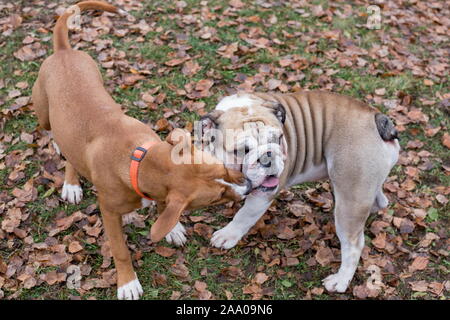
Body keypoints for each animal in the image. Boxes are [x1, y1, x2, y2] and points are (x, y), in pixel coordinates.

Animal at [31, 0, 250, 300]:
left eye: (224, 169)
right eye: (216, 197)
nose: (249, 187)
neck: (139, 159)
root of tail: (63, 51)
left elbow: (163, 205)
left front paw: (173, 228)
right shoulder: (109, 213)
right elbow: (120, 250)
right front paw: (128, 283)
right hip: (43, 113)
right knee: (55, 136)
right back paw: (70, 180)